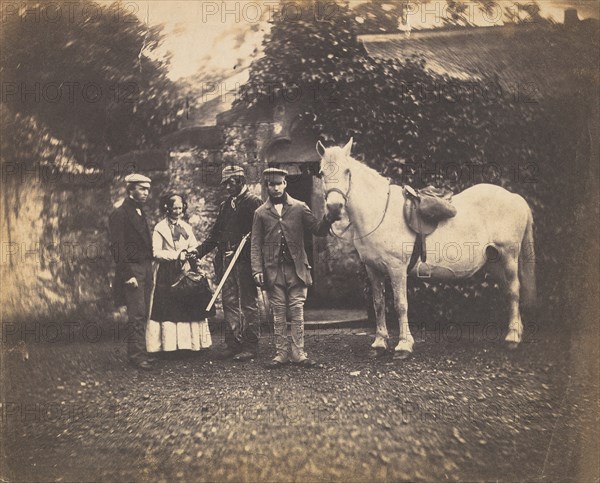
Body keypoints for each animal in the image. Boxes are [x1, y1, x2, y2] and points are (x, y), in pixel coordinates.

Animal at [318, 139, 536, 360]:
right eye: (321, 173)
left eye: (347, 171)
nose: (334, 208)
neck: (379, 212)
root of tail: (515, 197)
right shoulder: (373, 269)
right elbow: (378, 303)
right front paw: (379, 343)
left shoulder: (396, 268)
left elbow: (400, 305)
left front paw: (404, 345)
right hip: (494, 261)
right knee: (509, 290)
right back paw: (516, 331)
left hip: (508, 256)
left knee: (514, 290)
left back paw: (512, 338)